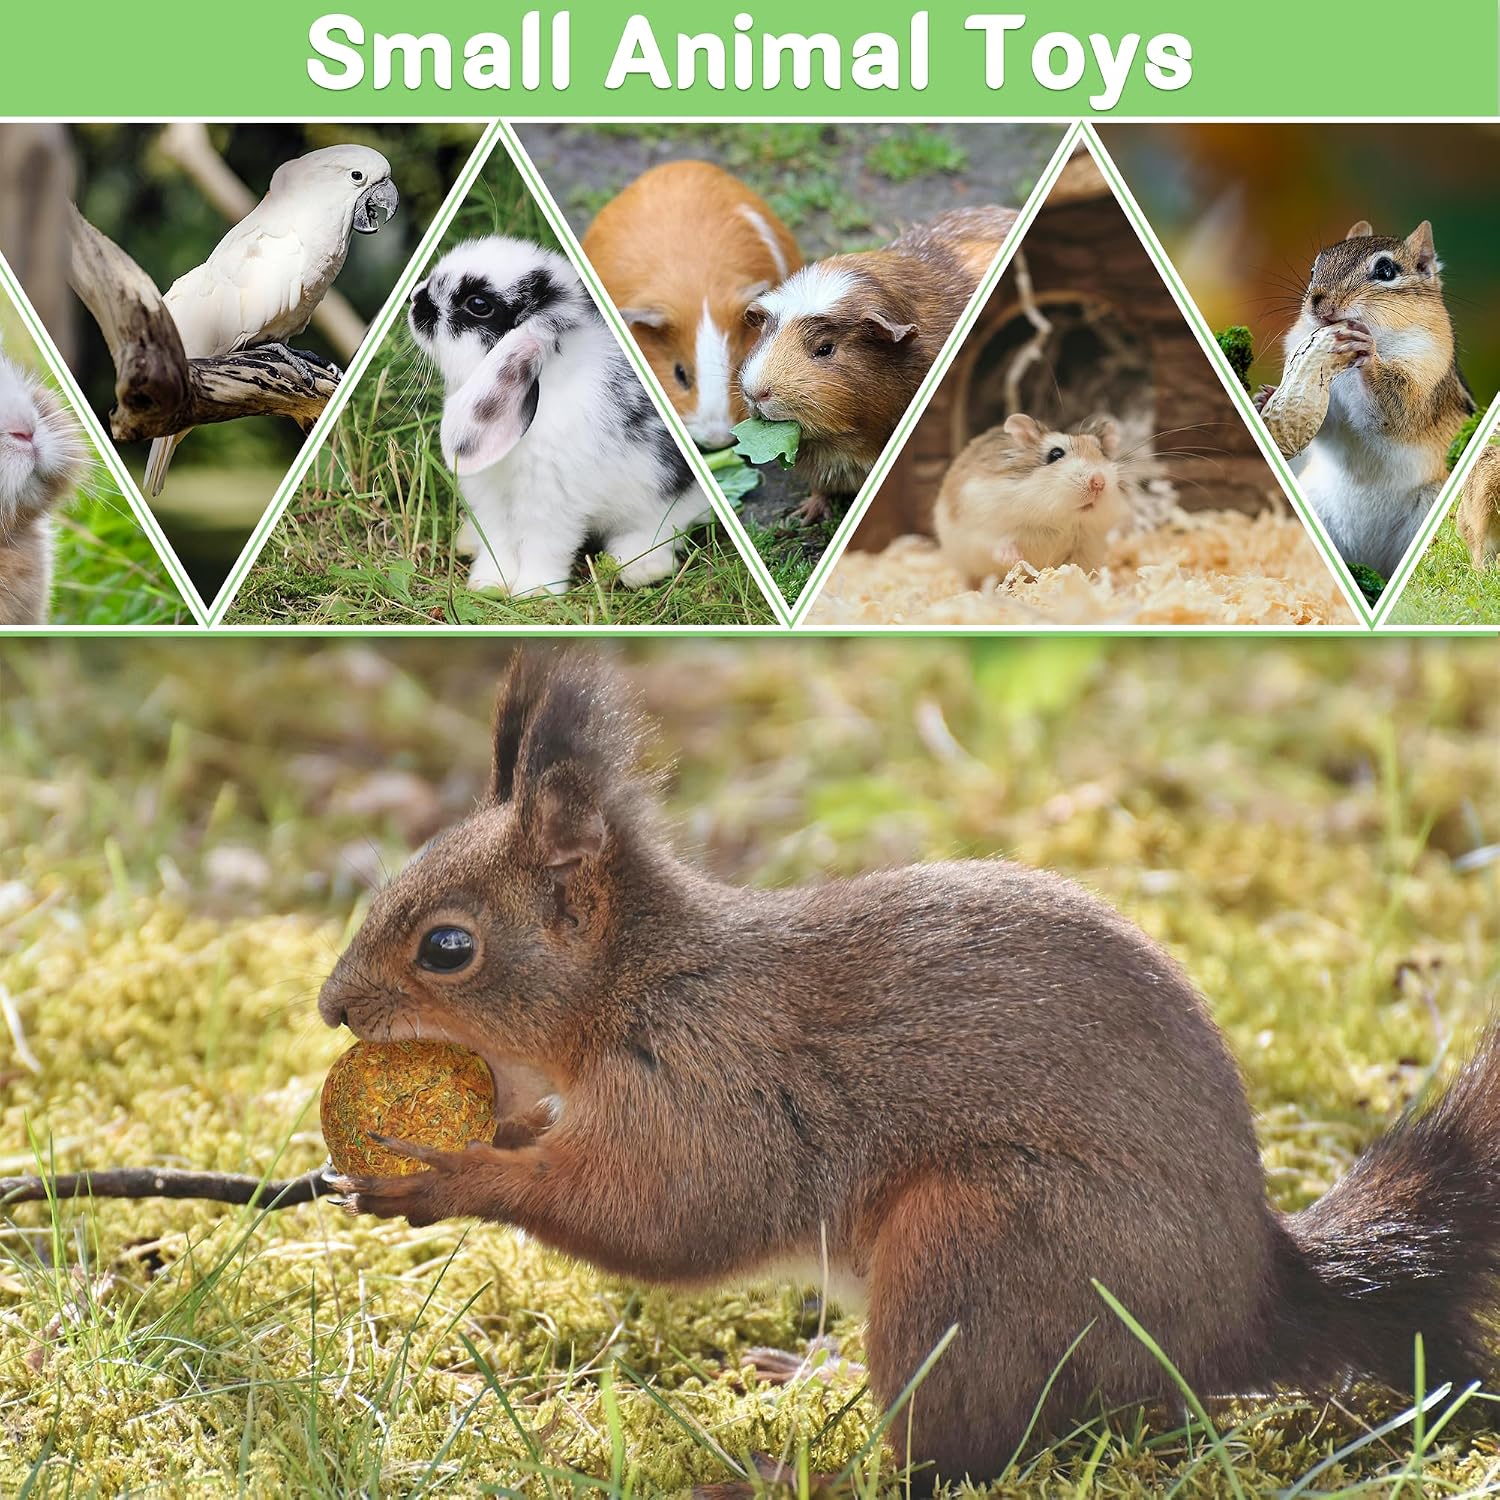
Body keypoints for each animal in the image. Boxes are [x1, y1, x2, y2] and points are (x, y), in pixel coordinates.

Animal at [409, 236, 712, 597]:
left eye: (478, 304)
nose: (415, 299)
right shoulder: (491, 501)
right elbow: (497, 543)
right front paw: (489, 585)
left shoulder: (552, 504)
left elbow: (543, 547)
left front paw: (535, 592)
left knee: (664, 530)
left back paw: (640, 568)